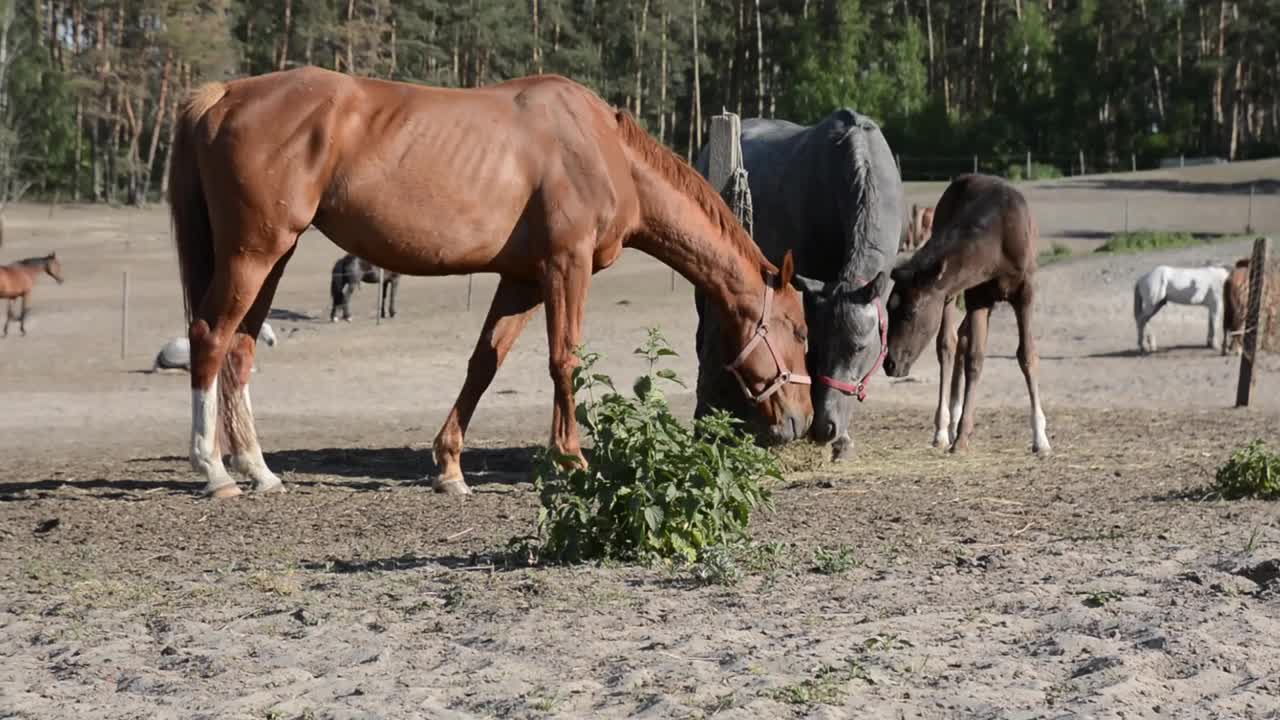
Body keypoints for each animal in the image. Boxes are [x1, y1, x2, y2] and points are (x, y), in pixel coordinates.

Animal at [170, 64, 814, 497]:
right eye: (801, 331)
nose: (802, 421)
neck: (603, 151)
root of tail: (223, 96)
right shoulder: (566, 267)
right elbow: (564, 360)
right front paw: (571, 460)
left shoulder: (522, 280)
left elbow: (484, 364)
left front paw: (450, 467)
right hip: (255, 252)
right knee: (210, 337)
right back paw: (215, 471)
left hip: (271, 257)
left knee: (241, 349)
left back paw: (259, 469)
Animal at [880, 172, 1049, 450]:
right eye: (888, 309)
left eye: (910, 312)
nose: (890, 364)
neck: (998, 240)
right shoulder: (977, 296)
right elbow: (975, 359)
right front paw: (960, 436)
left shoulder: (1025, 292)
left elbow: (1026, 355)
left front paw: (1041, 439)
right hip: (949, 296)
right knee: (948, 343)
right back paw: (942, 429)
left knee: (960, 337)